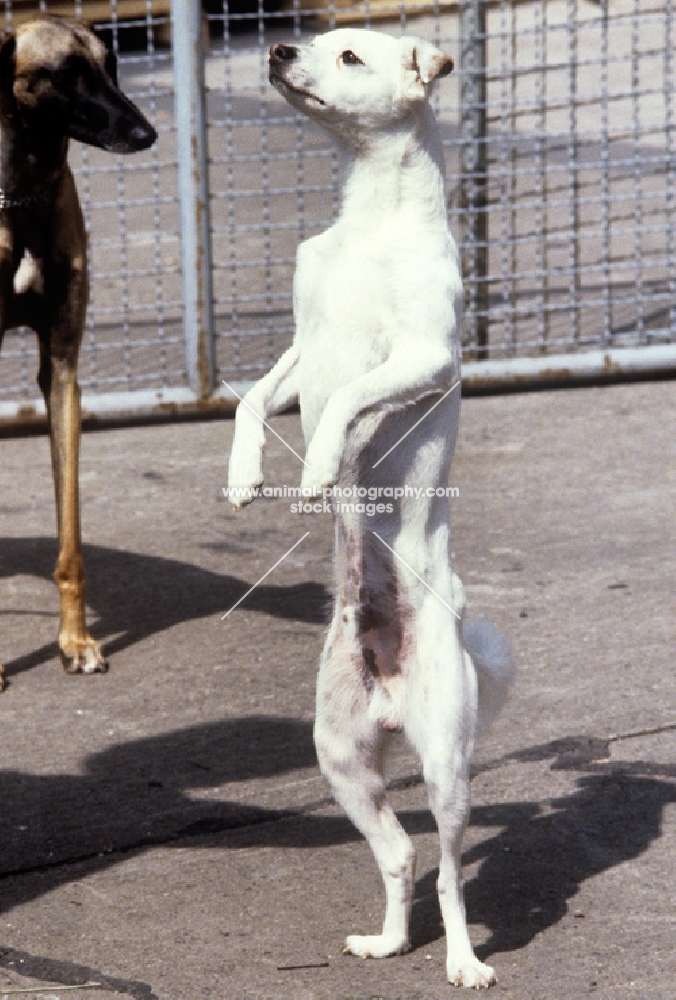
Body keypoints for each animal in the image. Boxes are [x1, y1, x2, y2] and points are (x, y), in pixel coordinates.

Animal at [230, 27, 516, 988]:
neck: (369, 222)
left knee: (454, 875)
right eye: (314, 41)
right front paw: (244, 475)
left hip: (446, 768)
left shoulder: (424, 356)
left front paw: (322, 468)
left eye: (350, 55)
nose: (278, 48)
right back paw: (388, 941)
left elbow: (349, 399)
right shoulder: (297, 348)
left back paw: (464, 962)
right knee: (401, 857)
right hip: (342, 760)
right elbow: (253, 398)